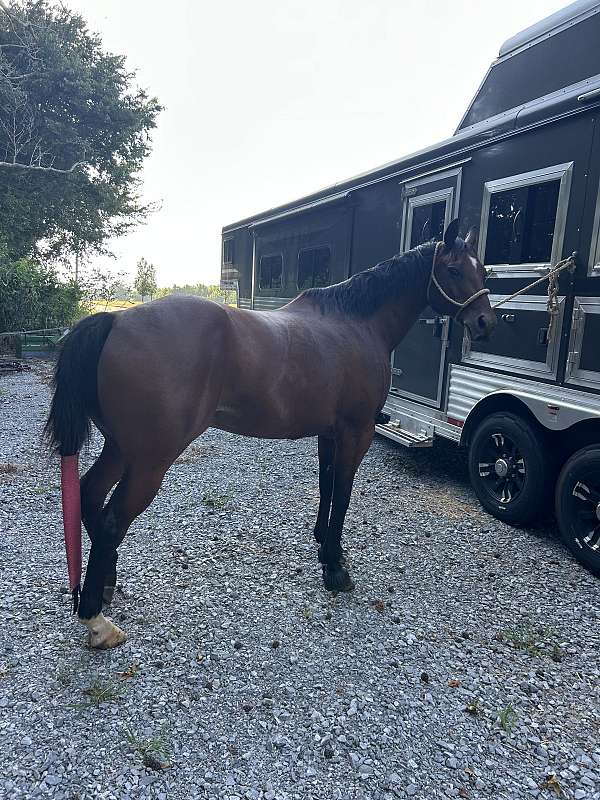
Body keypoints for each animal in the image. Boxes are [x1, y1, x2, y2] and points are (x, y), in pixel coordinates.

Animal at [45, 219, 495, 649]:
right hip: (150, 460)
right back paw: (96, 620)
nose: (485, 322)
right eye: (454, 270)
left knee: (90, 495)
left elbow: (327, 485)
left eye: (482, 269)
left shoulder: (329, 432)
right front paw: (336, 569)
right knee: (111, 520)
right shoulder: (357, 431)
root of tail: (115, 319)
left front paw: (325, 546)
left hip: (123, 449)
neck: (356, 324)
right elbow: (344, 493)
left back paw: (105, 583)